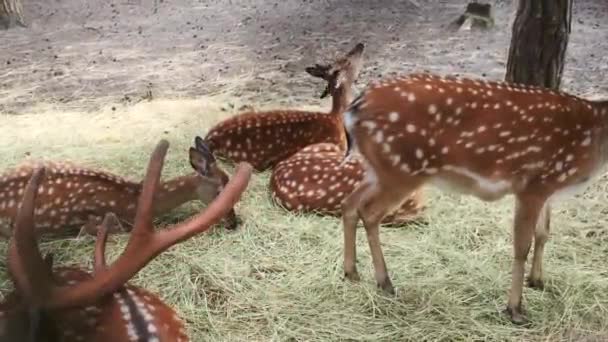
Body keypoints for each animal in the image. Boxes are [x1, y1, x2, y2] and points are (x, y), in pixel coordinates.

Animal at [340, 71, 608, 324]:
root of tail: (353, 109)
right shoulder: (533, 184)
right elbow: (522, 245)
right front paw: (515, 309)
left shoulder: (548, 188)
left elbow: (543, 234)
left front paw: (538, 281)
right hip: (402, 168)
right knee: (370, 212)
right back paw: (385, 282)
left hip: (379, 169)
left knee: (350, 203)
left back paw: (352, 273)